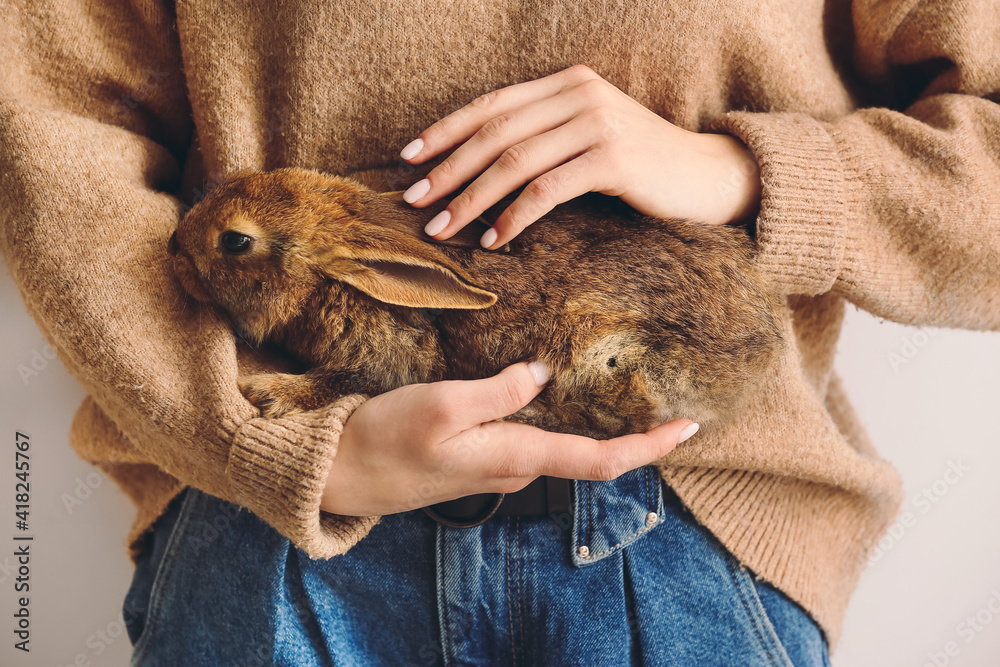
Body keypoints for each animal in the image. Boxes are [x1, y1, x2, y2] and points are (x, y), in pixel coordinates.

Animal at [170, 166, 780, 438]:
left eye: (236, 241)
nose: (174, 246)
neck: (332, 281)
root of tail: (759, 359)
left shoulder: (389, 353)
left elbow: (349, 379)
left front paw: (270, 393)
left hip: (610, 360)